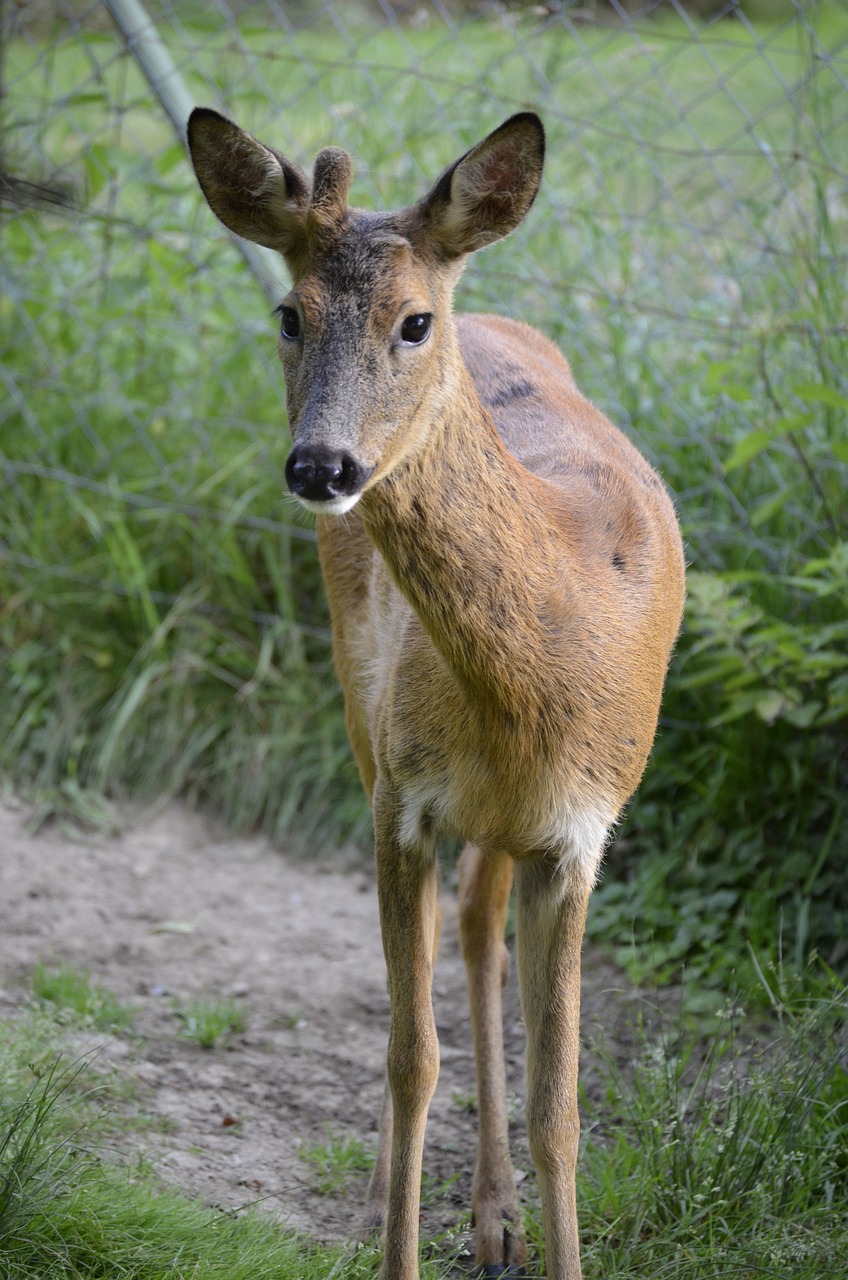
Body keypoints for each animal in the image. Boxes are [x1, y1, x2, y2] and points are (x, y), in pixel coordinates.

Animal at [189, 110, 686, 1280]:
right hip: (354, 698)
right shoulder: (403, 801)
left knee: (473, 922)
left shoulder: (579, 831)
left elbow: (561, 1104)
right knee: (435, 949)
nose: (321, 466)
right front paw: (396, 1236)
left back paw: (496, 1214)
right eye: (288, 312)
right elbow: (410, 1058)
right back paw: (403, 1194)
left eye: (414, 321)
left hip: (496, 822)